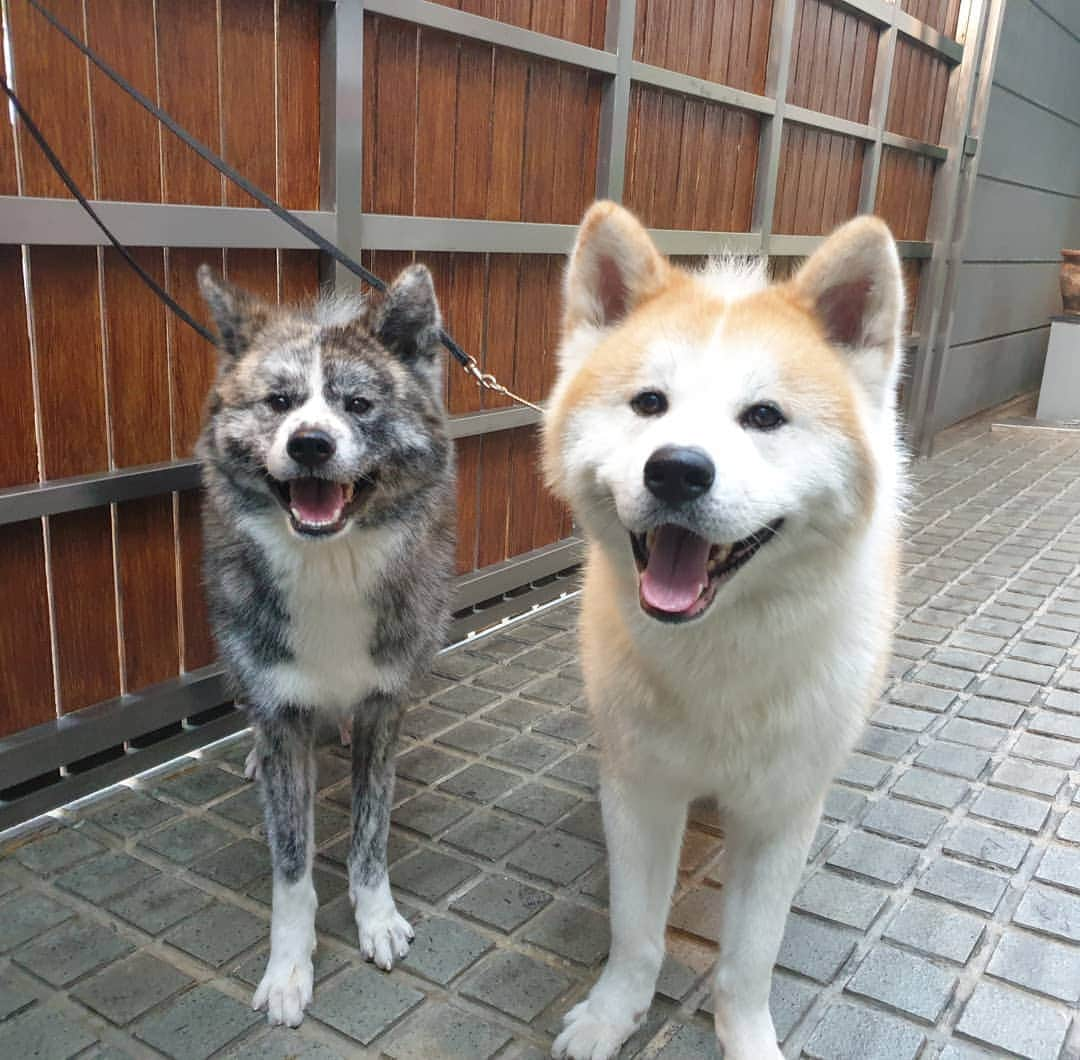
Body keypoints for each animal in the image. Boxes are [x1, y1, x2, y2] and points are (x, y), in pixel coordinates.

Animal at [196, 264, 453, 1024]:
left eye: (359, 405)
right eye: (278, 402)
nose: (310, 442)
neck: (330, 563)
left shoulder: (383, 705)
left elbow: (371, 834)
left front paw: (376, 918)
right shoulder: (280, 707)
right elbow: (291, 867)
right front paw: (288, 966)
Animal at [540, 203, 902, 1054]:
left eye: (764, 417)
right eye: (649, 404)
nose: (676, 469)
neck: (715, 656)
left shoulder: (778, 814)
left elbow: (748, 964)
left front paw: (746, 1037)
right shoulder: (641, 791)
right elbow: (636, 935)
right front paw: (612, 1015)